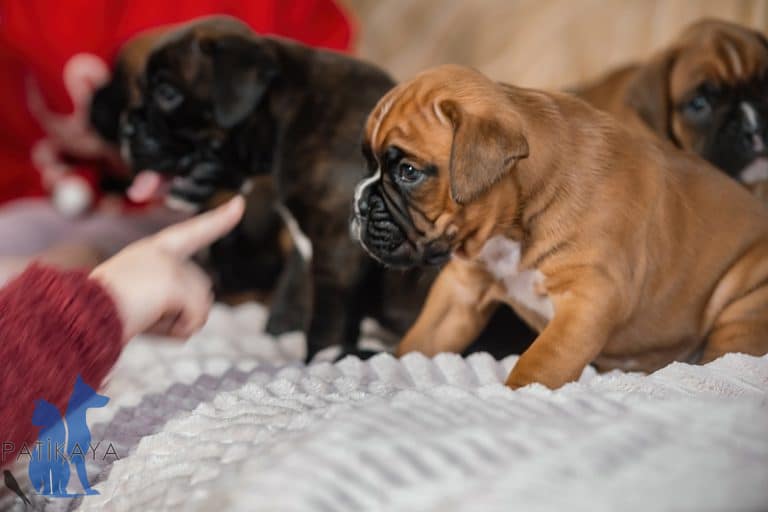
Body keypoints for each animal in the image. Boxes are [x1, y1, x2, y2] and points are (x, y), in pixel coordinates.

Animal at [352, 66, 768, 390]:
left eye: (408, 172)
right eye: (368, 162)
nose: (358, 204)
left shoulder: (589, 297)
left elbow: (541, 360)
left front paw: (514, 395)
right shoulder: (462, 291)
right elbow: (421, 341)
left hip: (743, 309)